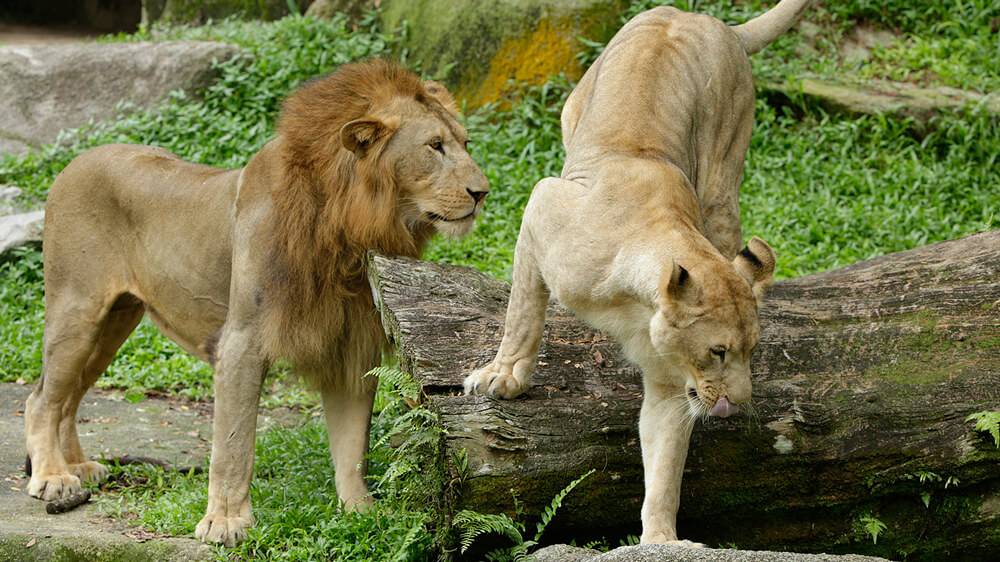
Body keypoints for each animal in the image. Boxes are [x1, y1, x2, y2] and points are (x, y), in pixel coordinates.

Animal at [24, 59, 489, 546]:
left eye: (465, 143)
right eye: (435, 146)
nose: (483, 192)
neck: (346, 228)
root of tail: (75, 162)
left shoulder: (348, 344)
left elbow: (351, 443)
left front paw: (361, 512)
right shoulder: (242, 340)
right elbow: (233, 443)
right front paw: (225, 522)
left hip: (116, 319)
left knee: (68, 397)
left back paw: (77, 465)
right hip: (77, 310)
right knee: (42, 400)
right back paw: (53, 477)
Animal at [464, 0, 810, 546]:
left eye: (752, 350)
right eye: (719, 351)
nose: (738, 404)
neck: (630, 301)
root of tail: (712, 22)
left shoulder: (673, 382)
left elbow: (665, 465)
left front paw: (662, 540)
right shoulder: (542, 205)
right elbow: (522, 313)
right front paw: (505, 377)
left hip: (722, 179)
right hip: (575, 118)